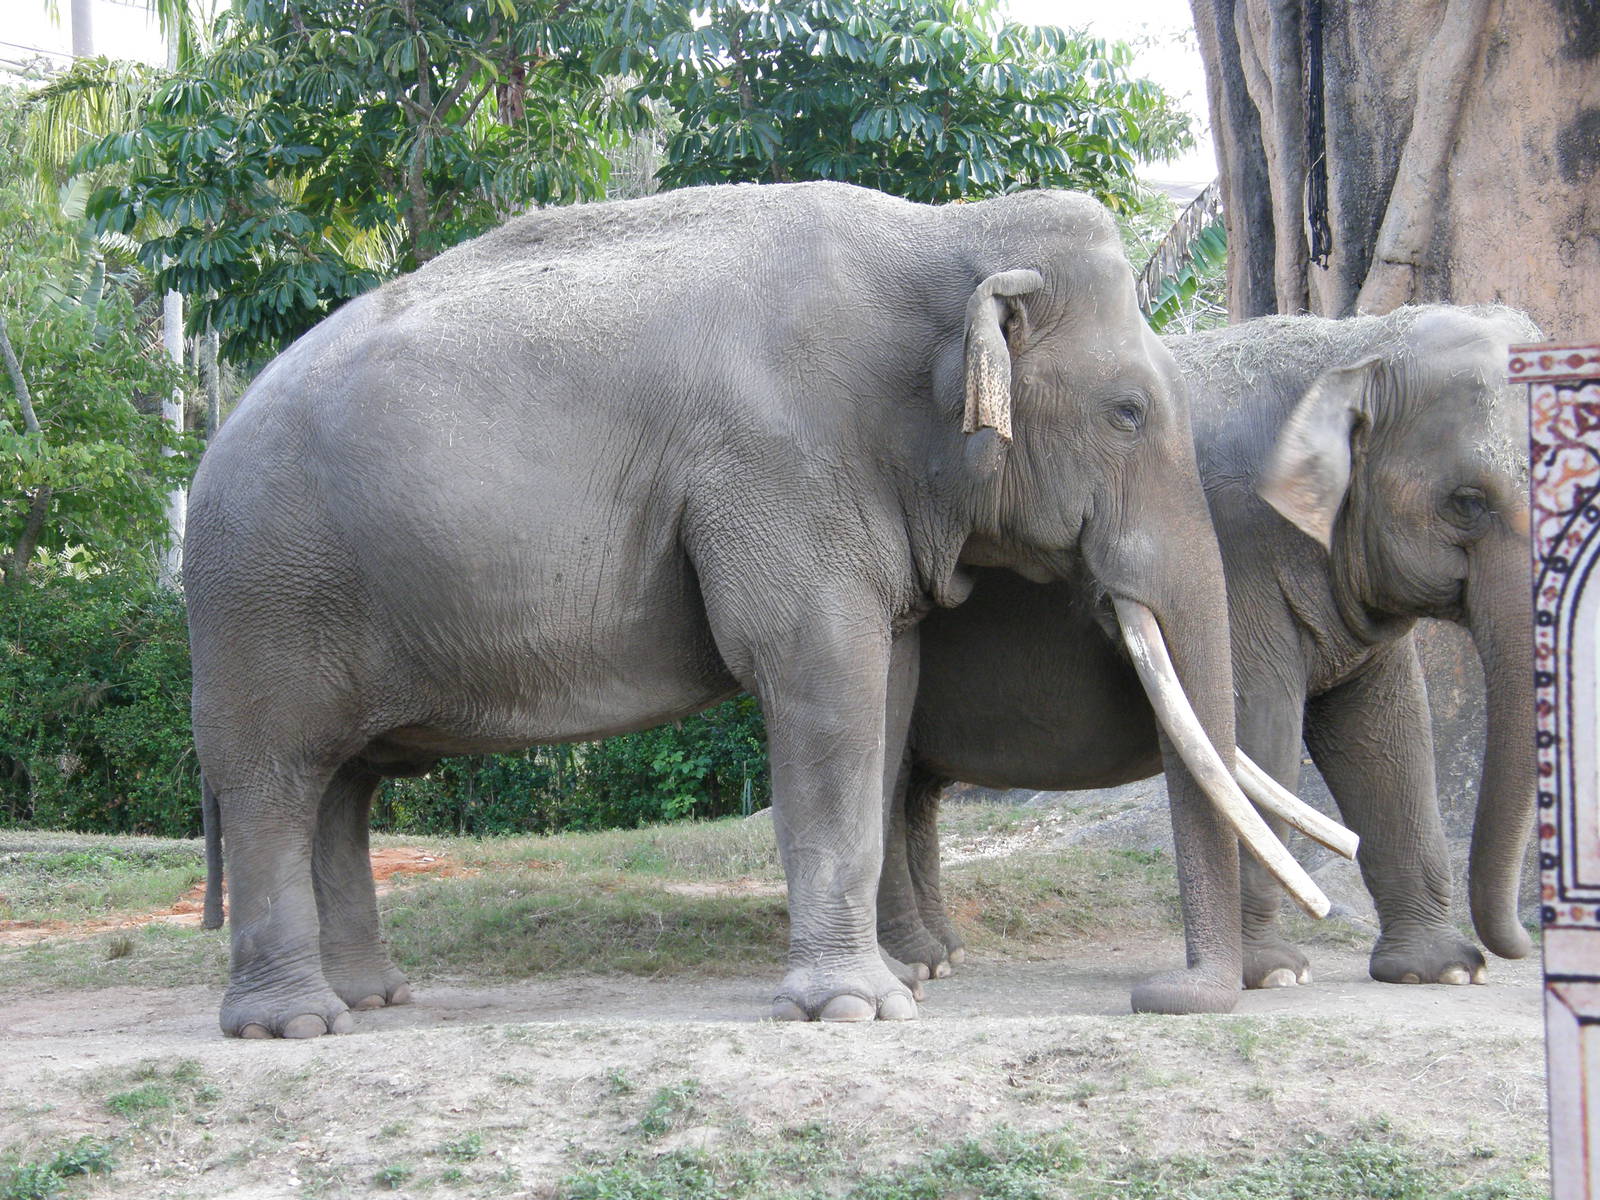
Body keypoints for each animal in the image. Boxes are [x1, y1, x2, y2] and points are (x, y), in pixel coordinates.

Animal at [188, 180, 1298, 1038]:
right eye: (1128, 414)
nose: (1154, 992)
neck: (943, 235)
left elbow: (885, 694)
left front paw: (887, 989)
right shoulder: (782, 467)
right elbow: (824, 681)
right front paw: (853, 1011)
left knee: (343, 786)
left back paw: (372, 1000)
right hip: (268, 597)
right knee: (277, 780)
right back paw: (294, 1024)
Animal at [879, 304, 1538, 997]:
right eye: (1468, 503)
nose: (1517, 946)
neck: (1354, 345)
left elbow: (1390, 735)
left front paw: (1443, 970)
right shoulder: (1238, 543)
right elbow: (1260, 726)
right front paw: (1274, 976)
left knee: (914, 789)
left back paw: (943, 955)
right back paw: (921, 962)